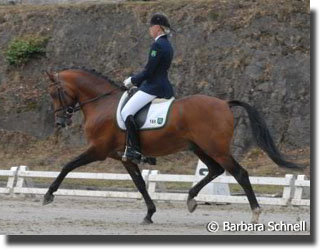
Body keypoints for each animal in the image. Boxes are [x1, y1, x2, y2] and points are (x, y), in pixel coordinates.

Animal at [43, 68, 302, 225]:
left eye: (55, 92)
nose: (60, 122)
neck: (102, 104)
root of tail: (224, 103)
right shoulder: (124, 157)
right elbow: (139, 184)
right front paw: (149, 213)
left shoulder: (98, 150)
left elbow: (67, 166)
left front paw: (48, 195)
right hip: (199, 147)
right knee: (215, 170)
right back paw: (191, 199)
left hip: (216, 148)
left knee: (239, 173)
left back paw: (255, 213)